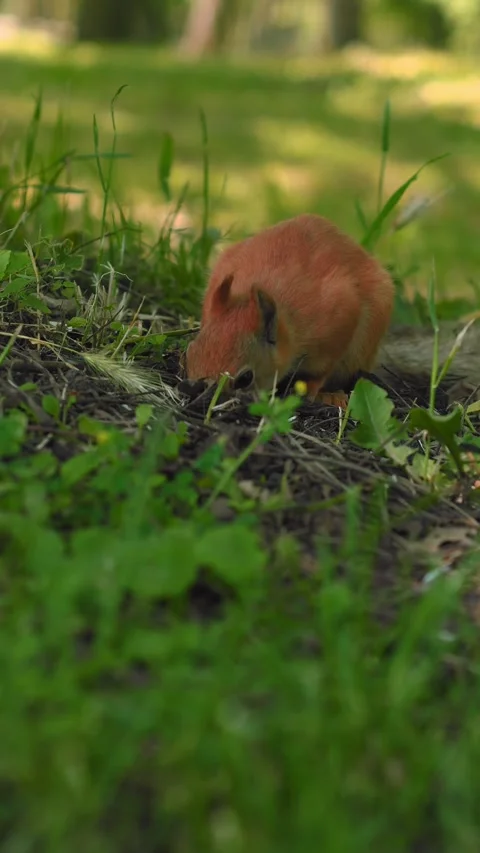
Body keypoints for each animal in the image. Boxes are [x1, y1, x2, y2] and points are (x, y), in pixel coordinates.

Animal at [185, 213, 395, 408]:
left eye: (245, 378)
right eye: (189, 353)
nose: (194, 392)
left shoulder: (340, 319)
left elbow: (323, 370)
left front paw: (311, 389)